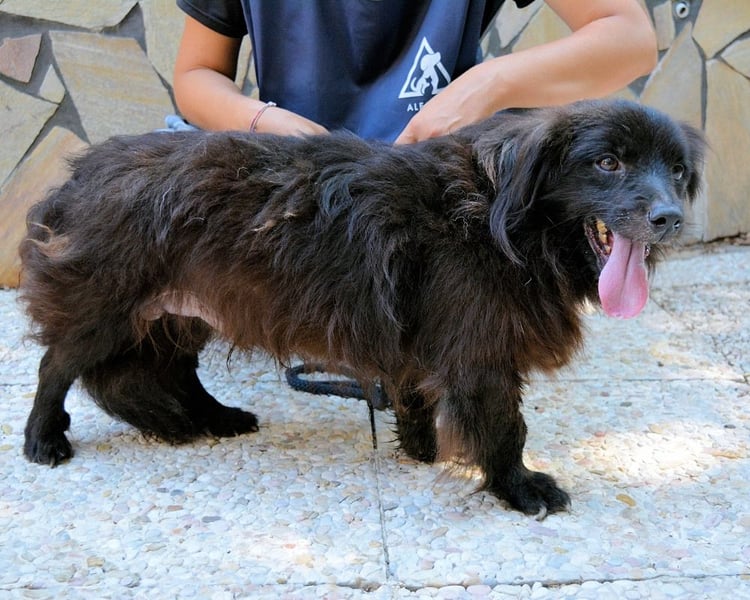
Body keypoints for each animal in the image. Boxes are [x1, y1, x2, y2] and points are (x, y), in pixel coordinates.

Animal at [19, 99, 704, 518]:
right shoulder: (479, 354)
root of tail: (78, 175)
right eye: (607, 162)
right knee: (56, 366)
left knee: (167, 376)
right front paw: (517, 487)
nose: (670, 219)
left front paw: (419, 448)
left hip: (181, 316)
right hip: (105, 307)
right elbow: (505, 426)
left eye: (676, 170)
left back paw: (213, 419)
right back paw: (43, 439)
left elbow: (416, 395)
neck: (503, 219)